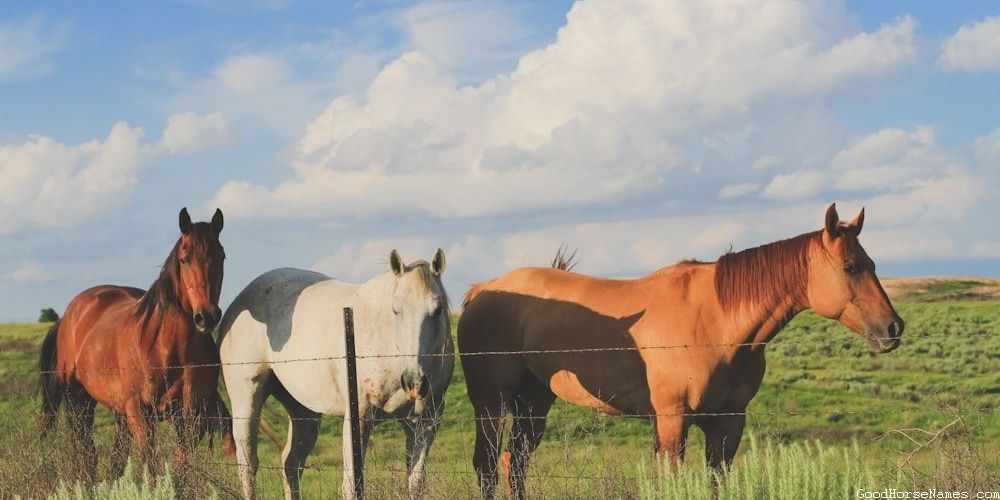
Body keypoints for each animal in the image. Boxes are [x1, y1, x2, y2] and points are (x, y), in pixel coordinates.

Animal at [39, 208, 234, 484]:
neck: (171, 350)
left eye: (221, 256)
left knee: (115, 459)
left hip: (119, 412)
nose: (207, 316)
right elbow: (152, 468)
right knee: (86, 454)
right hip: (79, 401)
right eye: (184, 259)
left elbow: (179, 471)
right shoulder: (141, 413)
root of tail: (69, 315)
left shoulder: (193, 416)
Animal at [217, 249, 454, 500]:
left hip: (303, 412)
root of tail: (238, 303)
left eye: (438, 309)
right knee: (248, 465)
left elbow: (415, 484)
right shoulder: (358, 418)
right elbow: (352, 485)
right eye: (395, 310)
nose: (413, 382)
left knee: (291, 464)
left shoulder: (424, 424)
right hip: (246, 401)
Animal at [457, 203, 904, 499]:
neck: (716, 323)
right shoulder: (673, 420)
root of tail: (483, 289)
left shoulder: (727, 425)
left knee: (514, 462)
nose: (893, 328)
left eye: (873, 264)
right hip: (492, 402)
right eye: (850, 267)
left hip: (534, 400)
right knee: (487, 465)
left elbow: (715, 483)